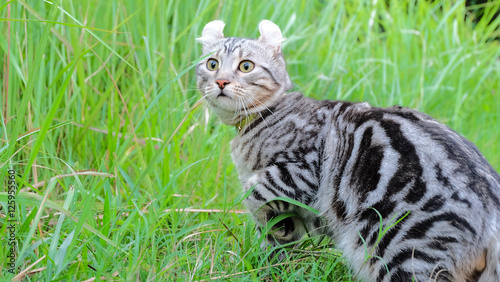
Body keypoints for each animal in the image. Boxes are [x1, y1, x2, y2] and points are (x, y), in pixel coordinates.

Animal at [194, 20, 500, 282]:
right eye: (212, 64)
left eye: (246, 66)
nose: (221, 82)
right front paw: (272, 256)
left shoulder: (301, 170)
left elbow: (255, 194)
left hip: (402, 249)